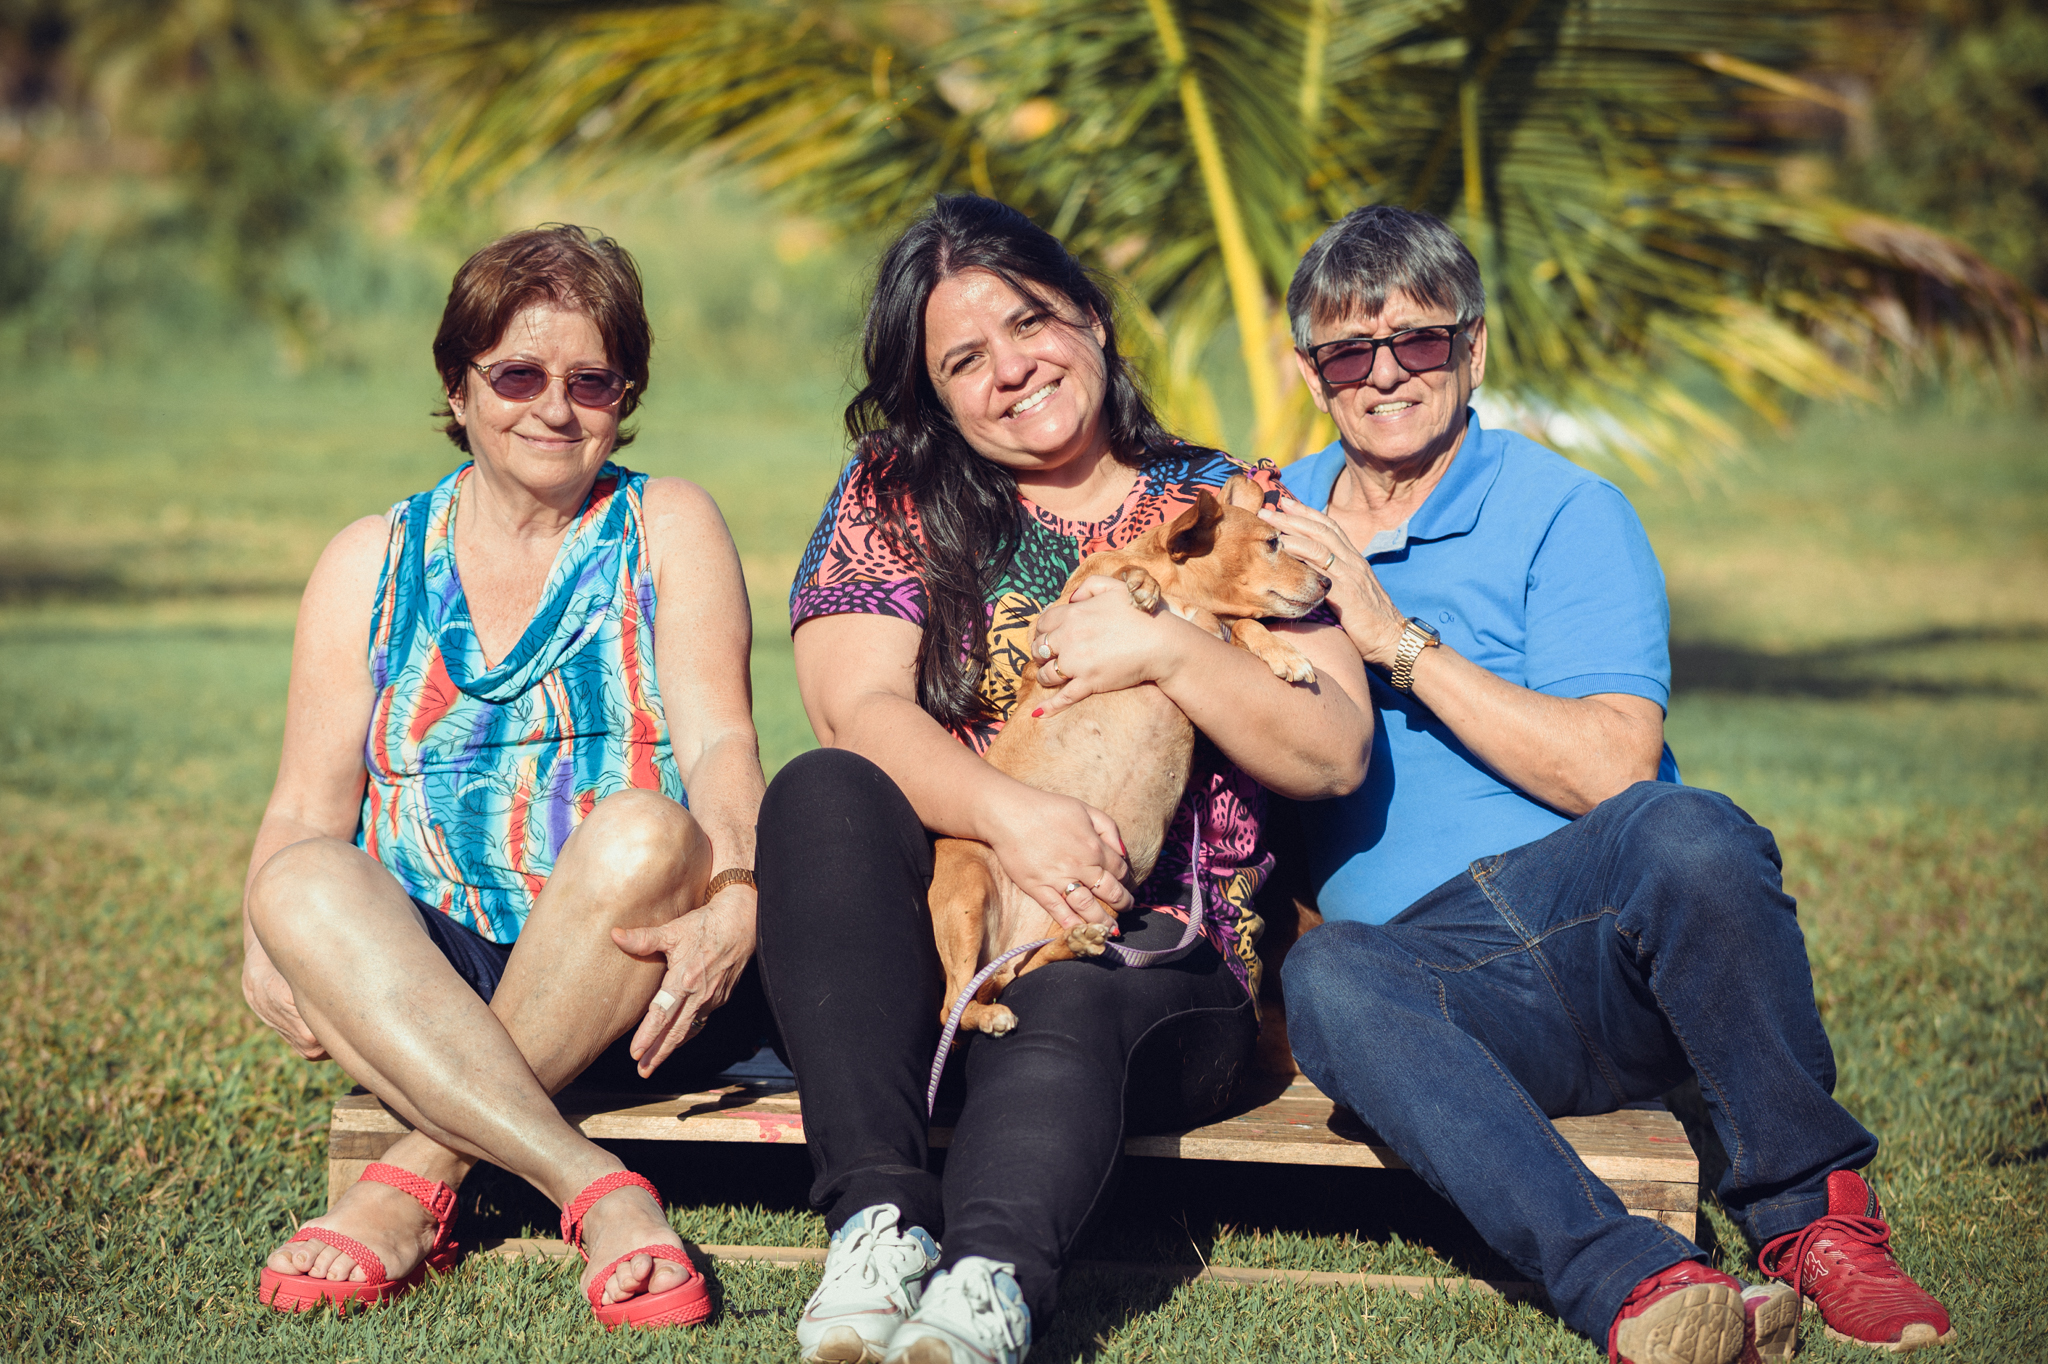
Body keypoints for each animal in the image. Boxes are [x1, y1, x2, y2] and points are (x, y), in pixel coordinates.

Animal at [929, 473, 1332, 1037]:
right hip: (970, 887)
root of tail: (1008, 945)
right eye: (1273, 543)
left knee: (1022, 969)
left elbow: (1245, 627)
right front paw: (1140, 585)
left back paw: (1076, 942)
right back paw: (990, 1014)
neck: (1185, 598)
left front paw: (1283, 653)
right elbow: (1126, 573)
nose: (1329, 583)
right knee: (952, 1006)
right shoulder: (1060, 618)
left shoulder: (1215, 633)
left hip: (1096, 900)